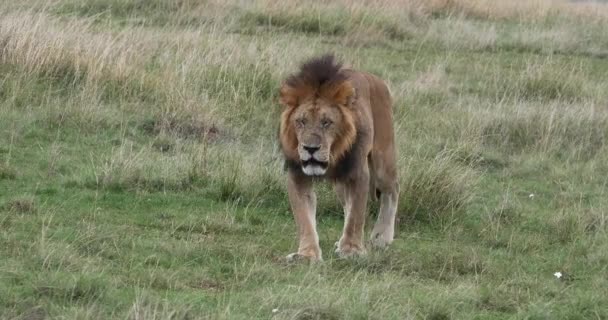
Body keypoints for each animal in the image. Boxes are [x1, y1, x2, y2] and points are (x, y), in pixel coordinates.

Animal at [280, 53, 400, 262]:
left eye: (327, 122)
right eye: (301, 121)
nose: (310, 148)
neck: (333, 153)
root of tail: (375, 79)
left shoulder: (358, 173)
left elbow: (356, 215)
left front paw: (351, 250)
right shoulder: (298, 176)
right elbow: (304, 218)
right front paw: (307, 254)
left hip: (383, 159)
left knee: (392, 189)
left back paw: (381, 238)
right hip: (340, 183)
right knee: (347, 203)